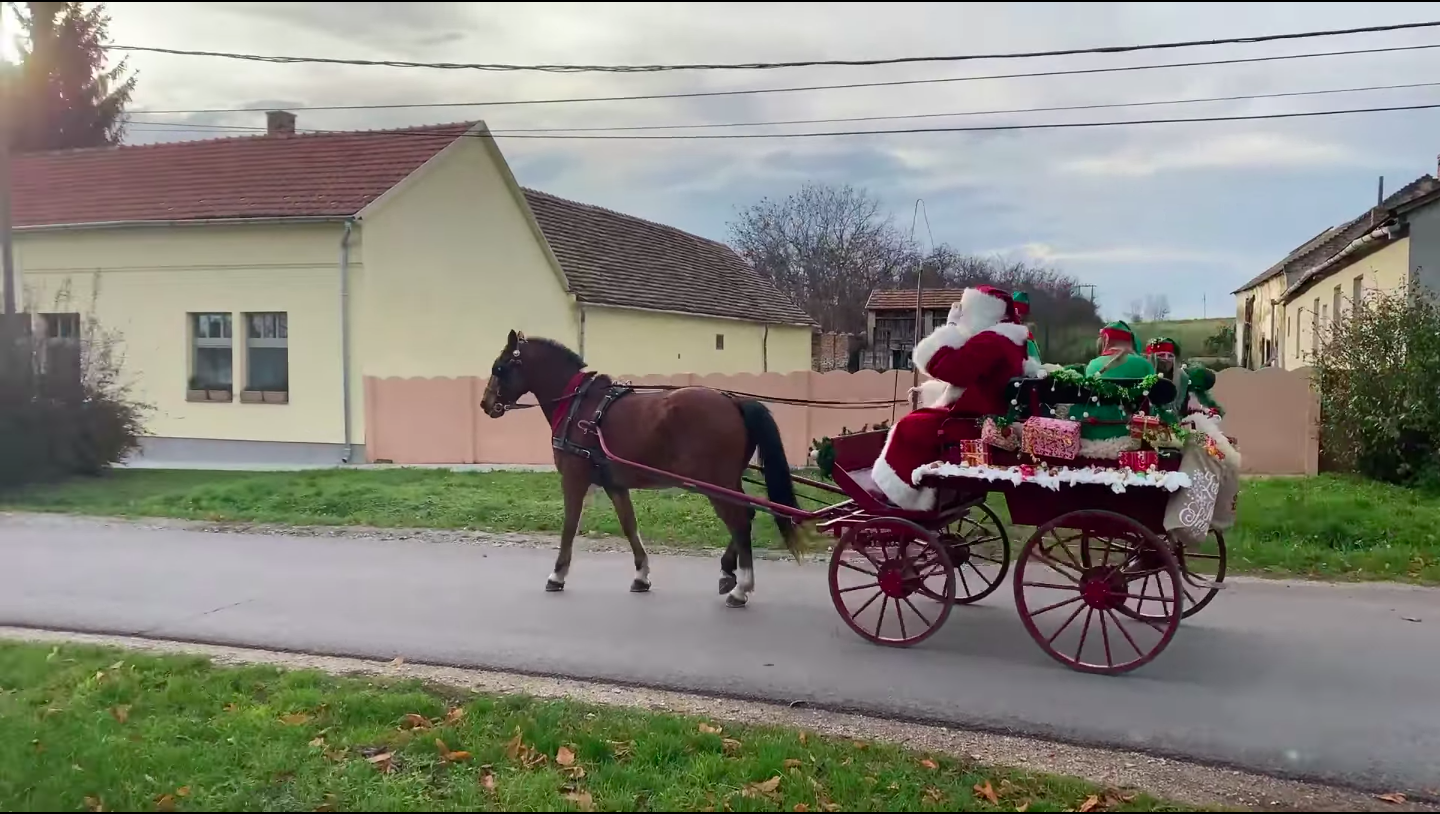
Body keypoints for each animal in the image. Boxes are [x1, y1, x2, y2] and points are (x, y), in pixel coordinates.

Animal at [480, 328, 800, 602]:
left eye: (500, 368)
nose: (486, 404)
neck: (579, 405)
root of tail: (734, 402)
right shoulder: (615, 484)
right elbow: (629, 525)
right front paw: (641, 575)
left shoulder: (574, 478)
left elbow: (570, 525)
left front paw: (557, 575)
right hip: (728, 481)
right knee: (746, 515)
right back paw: (728, 572)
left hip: (715, 481)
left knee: (739, 520)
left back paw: (741, 587)